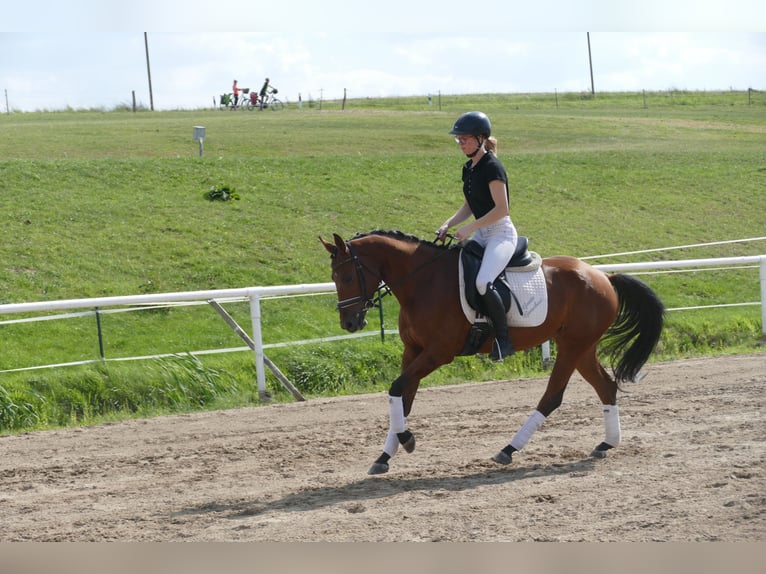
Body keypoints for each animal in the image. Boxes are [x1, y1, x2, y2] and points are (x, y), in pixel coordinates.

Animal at [320, 231, 664, 476]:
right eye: (334, 278)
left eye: (348, 276)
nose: (350, 323)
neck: (423, 282)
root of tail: (603, 276)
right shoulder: (413, 350)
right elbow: (403, 398)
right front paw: (385, 455)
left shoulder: (438, 352)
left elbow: (396, 389)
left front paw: (407, 441)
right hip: (582, 347)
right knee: (606, 387)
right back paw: (606, 444)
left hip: (572, 346)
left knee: (553, 396)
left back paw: (508, 450)